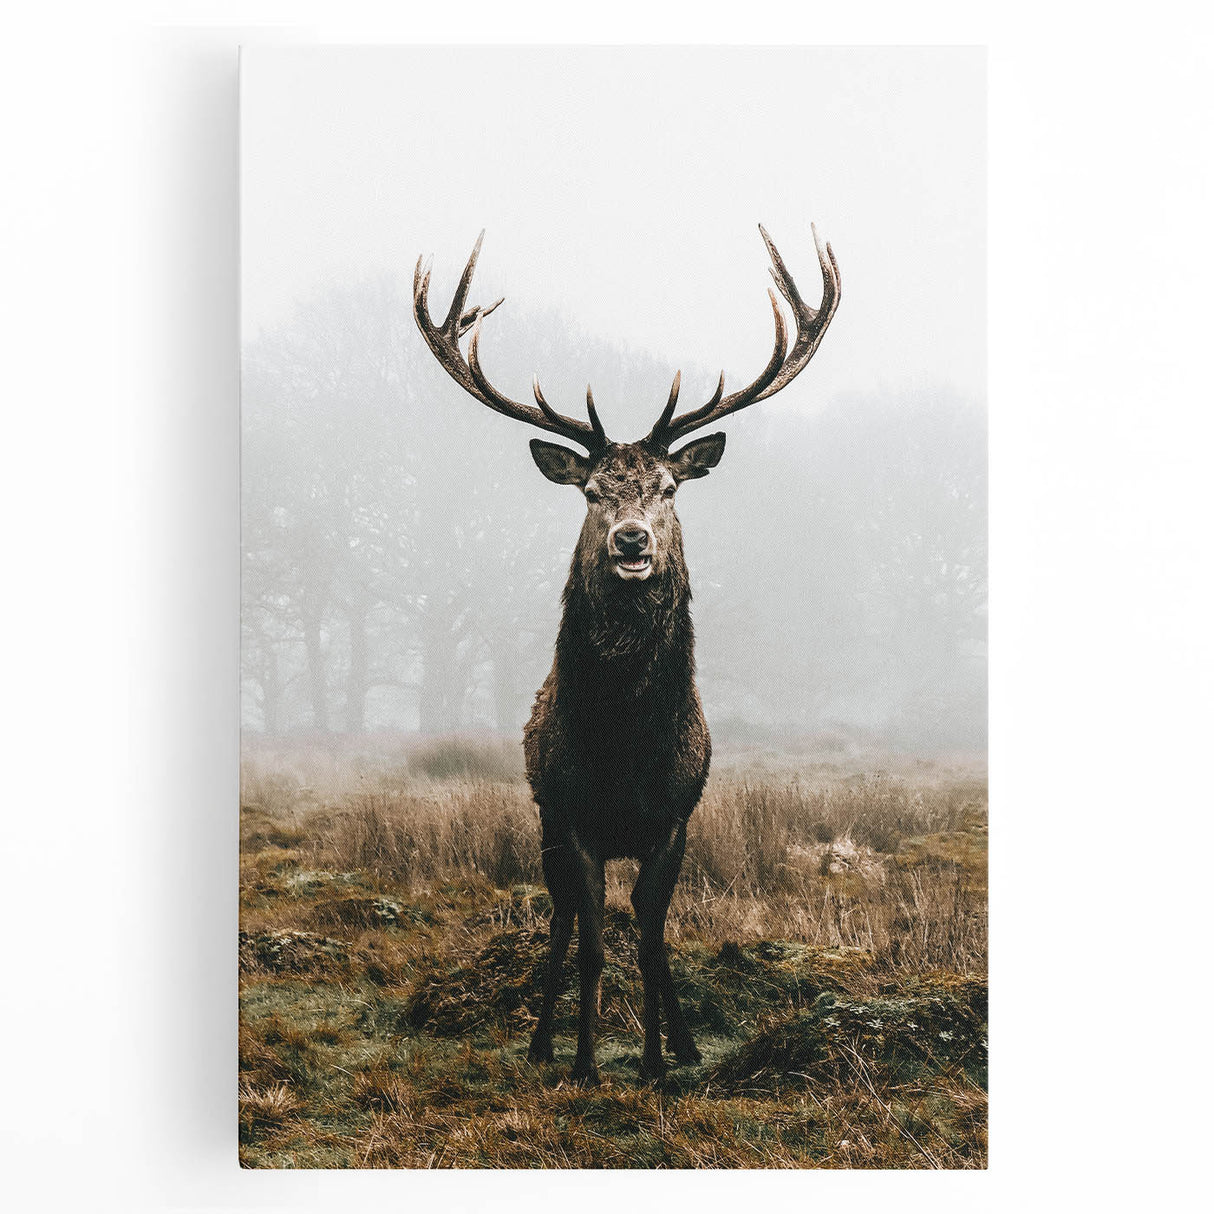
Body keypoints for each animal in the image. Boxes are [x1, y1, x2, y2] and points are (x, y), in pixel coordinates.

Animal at [413, 224, 841, 1084]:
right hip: (544, 823)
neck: (623, 747)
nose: (633, 542)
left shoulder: (672, 819)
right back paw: (543, 1041)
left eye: (670, 488)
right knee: (560, 924)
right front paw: (582, 1061)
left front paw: (655, 1061)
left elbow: (649, 938)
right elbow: (591, 944)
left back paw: (680, 1040)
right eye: (591, 492)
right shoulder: (572, 817)